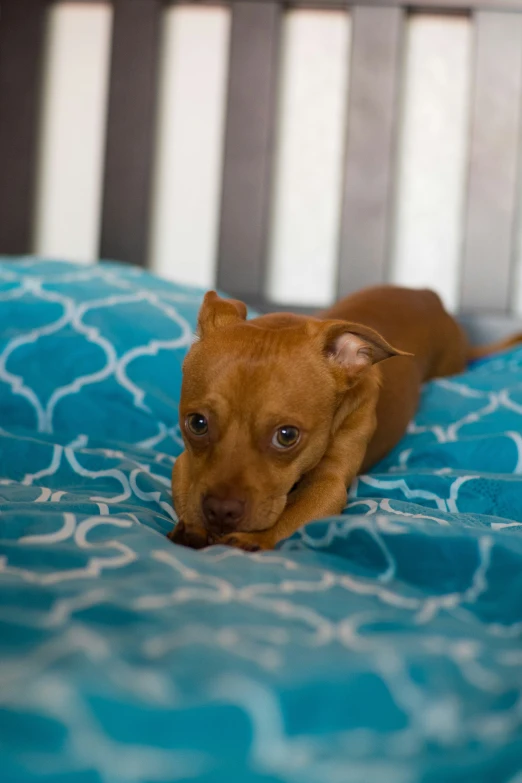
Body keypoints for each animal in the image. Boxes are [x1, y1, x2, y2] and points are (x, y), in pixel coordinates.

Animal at [169, 286, 516, 552]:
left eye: (287, 435)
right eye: (197, 423)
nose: (220, 511)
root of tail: (429, 295)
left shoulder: (329, 484)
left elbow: (289, 517)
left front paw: (253, 538)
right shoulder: (184, 463)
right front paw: (193, 529)